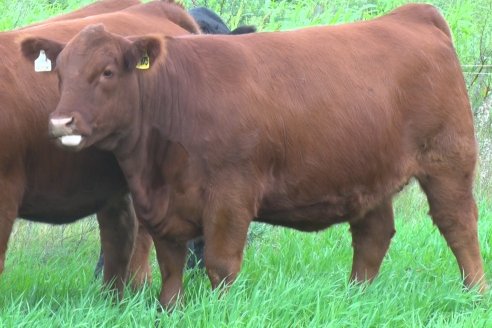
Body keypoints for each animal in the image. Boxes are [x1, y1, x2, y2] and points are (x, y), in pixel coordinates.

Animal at [23, 3, 484, 308]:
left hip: (449, 161)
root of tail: (411, 16)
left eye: (106, 72)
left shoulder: (231, 196)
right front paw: (168, 310)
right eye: (59, 73)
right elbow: (171, 266)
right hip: (369, 174)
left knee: (458, 226)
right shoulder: (161, 205)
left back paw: (475, 294)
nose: (60, 122)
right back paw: (355, 296)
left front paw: (219, 311)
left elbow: (220, 264)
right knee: (373, 235)